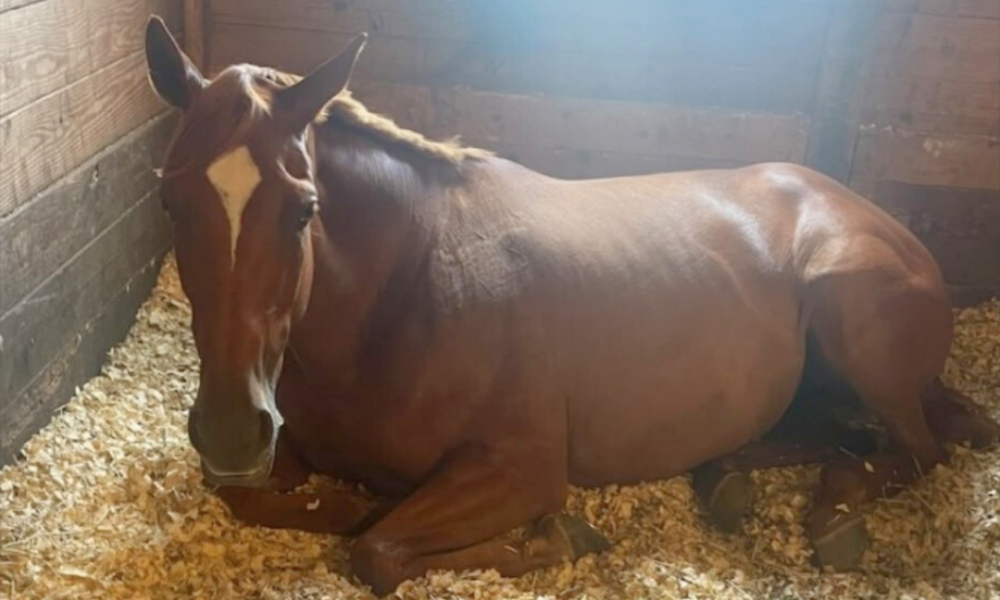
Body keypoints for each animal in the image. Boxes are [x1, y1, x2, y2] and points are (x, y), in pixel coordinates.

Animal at [144, 17, 998, 595]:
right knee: (835, 430)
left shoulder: (519, 471)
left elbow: (375, 548)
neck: (408, 291)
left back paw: (835, 512)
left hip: (854, 328)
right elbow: (265, 500)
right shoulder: (281, 448)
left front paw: (555, 540)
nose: (230, 430)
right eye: (168, 198)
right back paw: (731, 481)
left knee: (916, 445)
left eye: (302, 210)